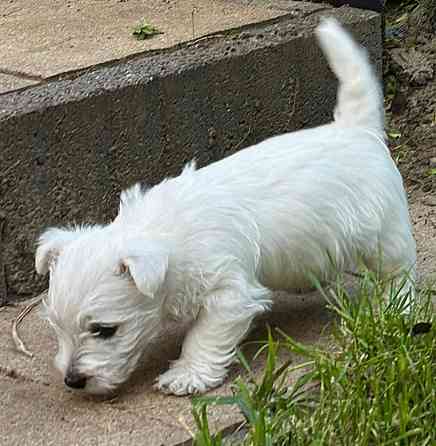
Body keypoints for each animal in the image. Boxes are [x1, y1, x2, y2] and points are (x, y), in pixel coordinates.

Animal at [34, 20, 416, 398]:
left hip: (383, 234)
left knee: (399, 273)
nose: (73, 380)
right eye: (56, 326)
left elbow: (203, 334)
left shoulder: (229, 292)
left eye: (104, 329)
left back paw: (395, 308)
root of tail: (357, 129)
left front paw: (188, 373)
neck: (166, 238)